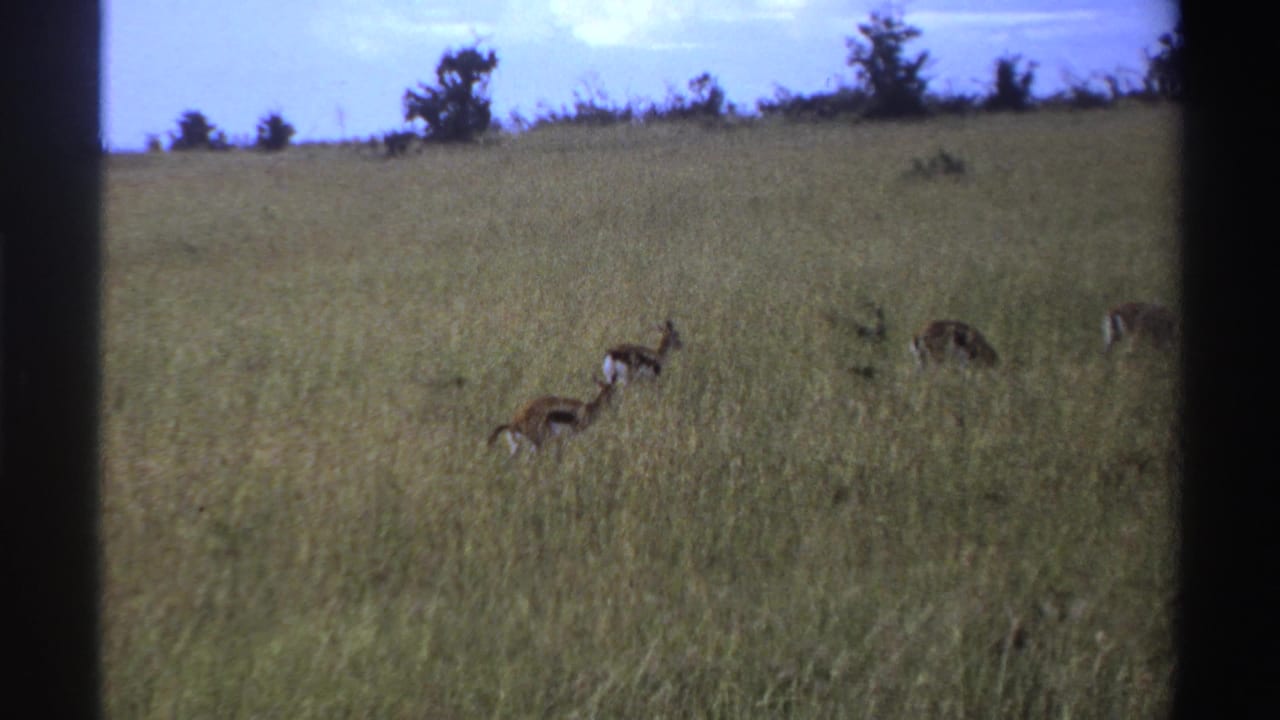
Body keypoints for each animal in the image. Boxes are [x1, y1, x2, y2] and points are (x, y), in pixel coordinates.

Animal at [487, 379, 616, 456]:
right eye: (611, 392)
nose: (612, 407)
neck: (588, 408)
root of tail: (513, 423)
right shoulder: (574, 432)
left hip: (520, 446)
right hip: (536, 443)